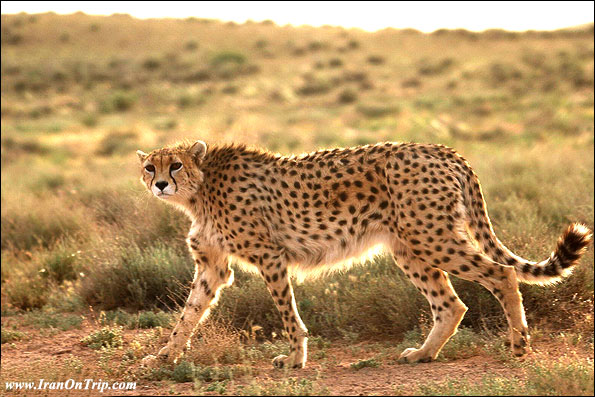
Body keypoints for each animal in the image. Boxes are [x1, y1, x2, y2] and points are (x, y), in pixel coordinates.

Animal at [139, 140, 592, 368]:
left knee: (502, 274)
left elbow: (288, 315)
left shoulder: (270, 257)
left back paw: (519, 346)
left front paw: (295, 358)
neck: (200, 190)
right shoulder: (212, 266)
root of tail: (442, 149)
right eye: (150, 167)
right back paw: (424, 354)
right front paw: (164, 355)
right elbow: (188, 314)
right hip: (409, 246)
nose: (160, 184)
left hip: (430, 236)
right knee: (452, 304)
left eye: (175, 165)